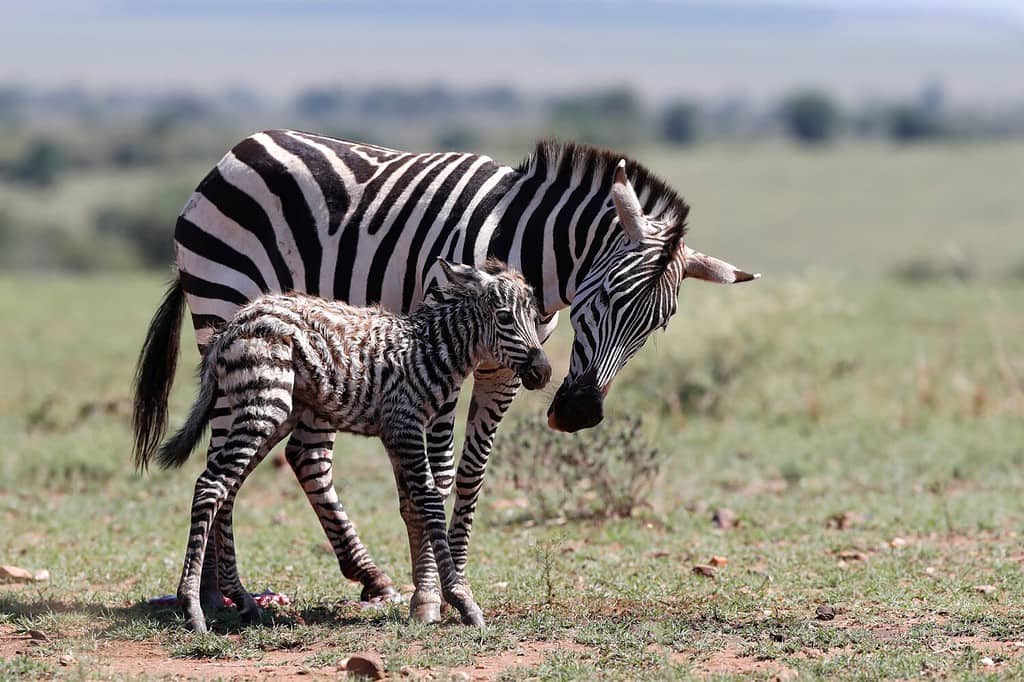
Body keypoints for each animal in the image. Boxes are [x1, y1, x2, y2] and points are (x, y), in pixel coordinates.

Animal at [145, 258, 552, 630]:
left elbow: (414, 507)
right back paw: (192, 609)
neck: (430, 350)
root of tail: (233, 323)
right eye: (504, 317)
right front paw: (462, 600)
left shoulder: (395, 433)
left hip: (275, 413)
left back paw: (243, 600)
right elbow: (432, 505)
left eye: (535, 316)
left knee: (227, 490)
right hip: (263, 404)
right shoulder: (404, 425)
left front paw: (427, 601)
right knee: (210, 486)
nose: (543, 371)